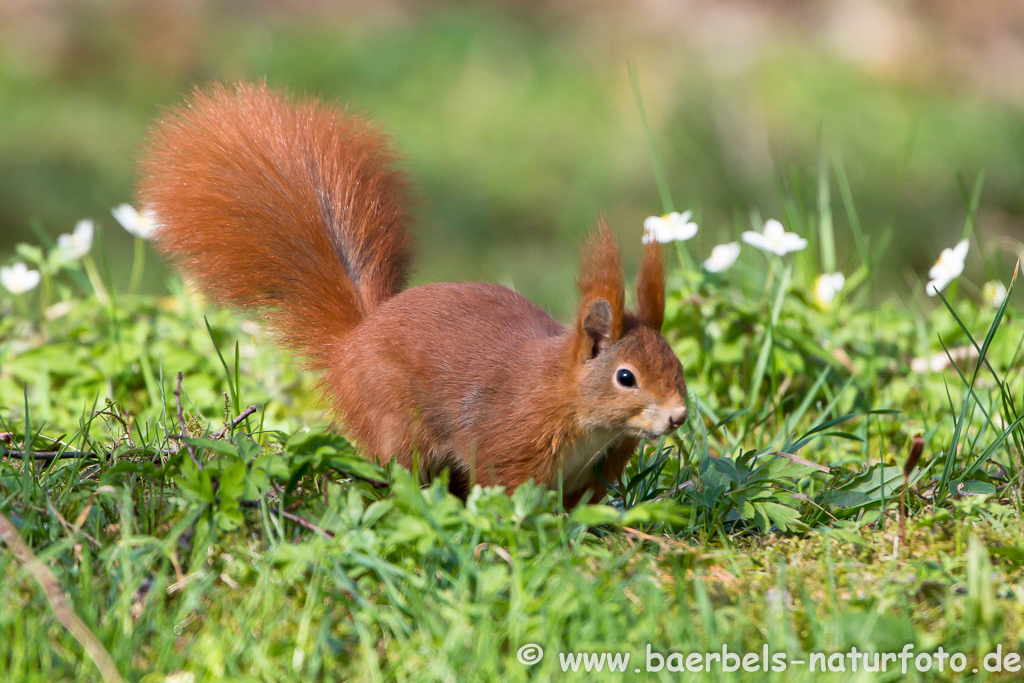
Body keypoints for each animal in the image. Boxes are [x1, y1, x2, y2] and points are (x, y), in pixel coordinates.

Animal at [138, 82, 688, 507]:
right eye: (625, 377)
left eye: (676, 364)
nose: (679, 416)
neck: (570, 403)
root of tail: (353, 341)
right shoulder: (511, 442)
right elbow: (505, 494)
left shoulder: (595, 472)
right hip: (395, 422)